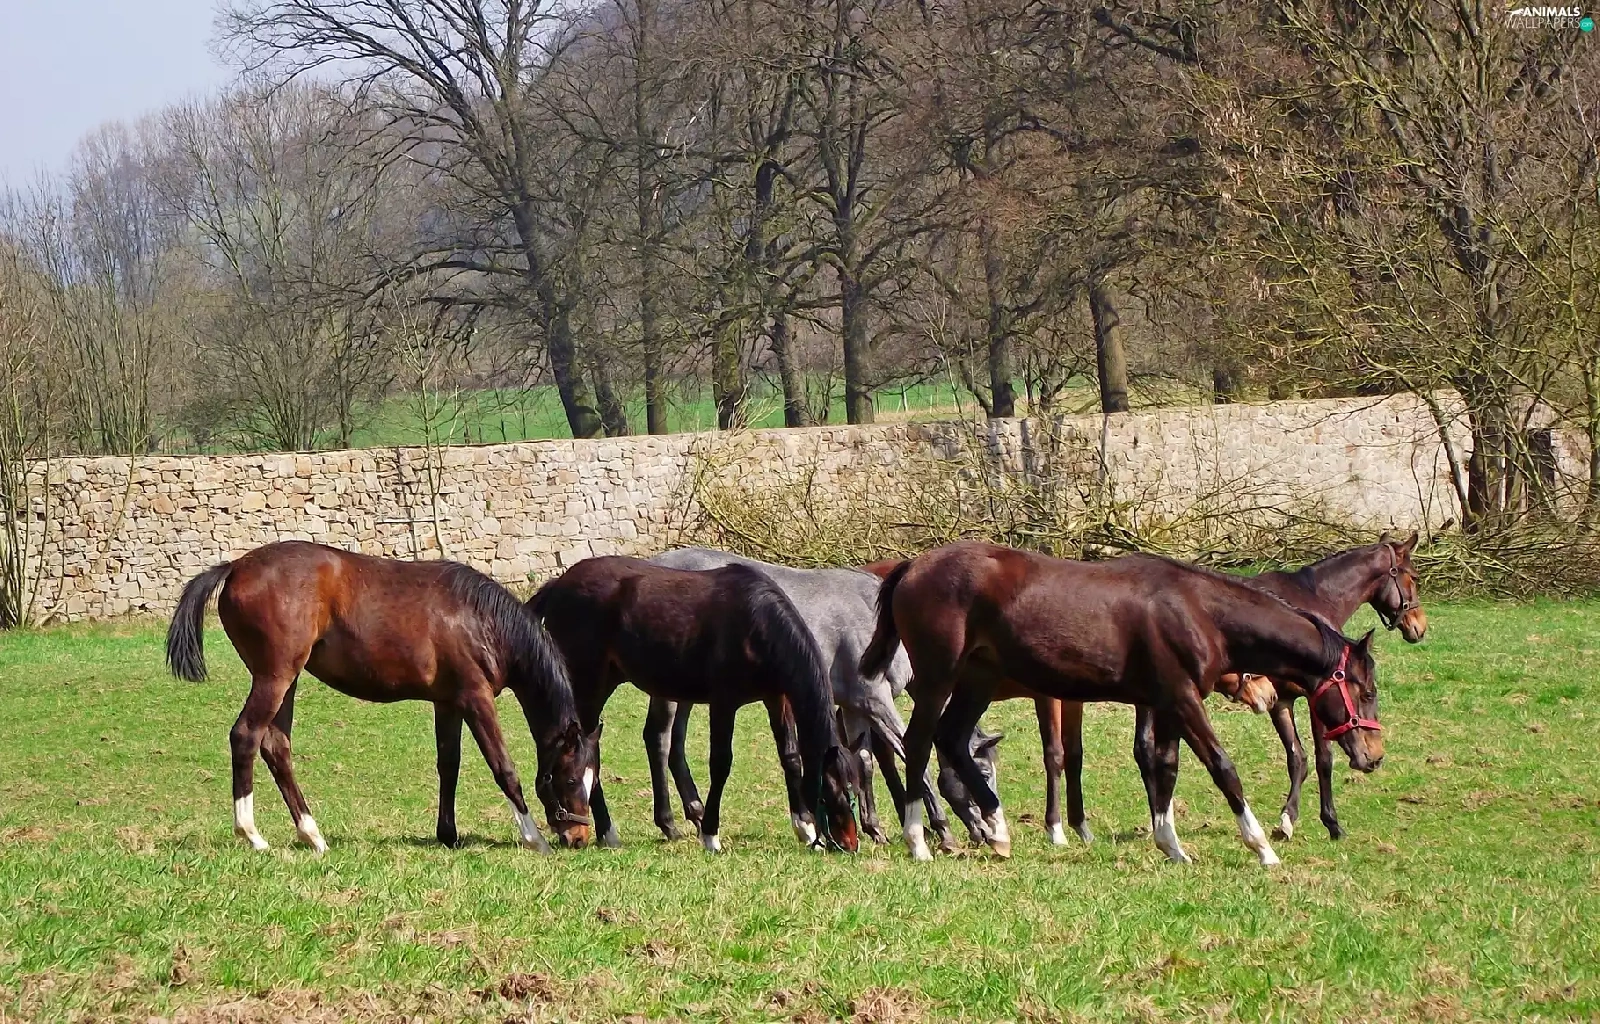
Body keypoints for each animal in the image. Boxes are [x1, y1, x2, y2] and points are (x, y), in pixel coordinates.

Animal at [165, 541, 598, 854]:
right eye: (571, 777)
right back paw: (251, 833)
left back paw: (312, 835)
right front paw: (534, 838)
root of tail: (236, 566)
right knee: (246, 736)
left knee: (276, 747)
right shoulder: (476, 700)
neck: (480, 620)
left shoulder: (448, 703)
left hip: (286, 681)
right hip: (274, 677)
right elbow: (503, 768)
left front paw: (448, 834)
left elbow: (449, 765)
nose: (579, 838)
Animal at [530, 556, 863, 853]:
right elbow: (721, 763)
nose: (850, 843)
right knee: (585, 751)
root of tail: (559, 584)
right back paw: (606, 831)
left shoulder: (776, 698)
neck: (754, 623)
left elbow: (790, 757)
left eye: (856, 788)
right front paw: (711, 835)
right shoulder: (724, 702)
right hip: (589, 687)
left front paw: (805, 828)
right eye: (829, 794)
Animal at [645, 548, 1001, 850]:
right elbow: (913, 756)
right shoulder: (875, 700)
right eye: (983, 774)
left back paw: (694, 813)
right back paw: (670, 822)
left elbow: (864, 763)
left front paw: (874, 828)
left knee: (673, 744)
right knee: (658, 739)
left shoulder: (855, 707)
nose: (985, 828)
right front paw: (942, 830)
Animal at [861, 541, 1384, 864]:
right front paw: (1261, 847)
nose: (1373, 756)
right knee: (918, 742)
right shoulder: (1182, 699)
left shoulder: (1168, 703)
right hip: (938, 679)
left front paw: (1172, 845)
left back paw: (997, 829)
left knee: (950, 741)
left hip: (978, 679)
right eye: (1367, 691)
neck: (1197, 611)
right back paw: (919, 841)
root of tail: (912, 567)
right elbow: (1221, 766)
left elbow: (1166, 767)